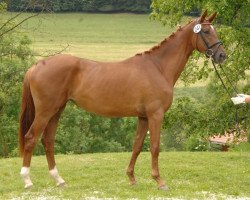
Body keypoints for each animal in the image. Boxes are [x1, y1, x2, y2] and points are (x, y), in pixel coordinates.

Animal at [19, 10, 227, 189]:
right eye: (206, 31)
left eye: (215, 30)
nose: (222, 55)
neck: (158, 67)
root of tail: (36, 65)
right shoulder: (156, 115)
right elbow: (155, 147)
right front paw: (159, 181)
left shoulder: (143, 117)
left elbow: (137, 146)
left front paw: (132, 178)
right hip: (45, 111)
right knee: (31, 138)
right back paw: (27, 181)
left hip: (57, 111)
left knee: (48, 140)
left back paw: (59, 180)